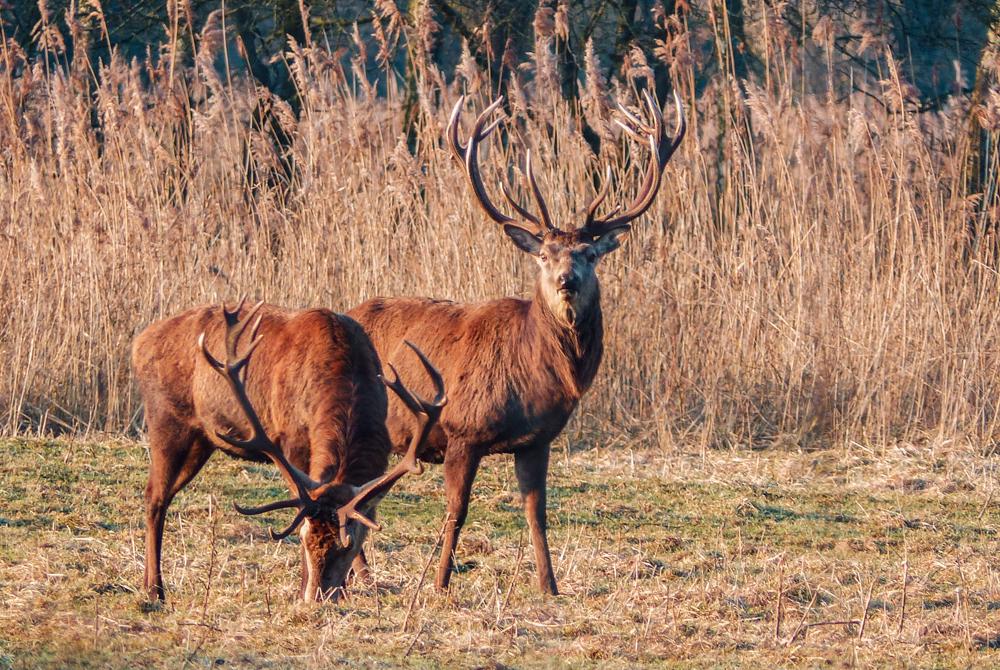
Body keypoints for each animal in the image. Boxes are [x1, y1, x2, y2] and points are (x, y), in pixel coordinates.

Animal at [133, 300, 446, 604]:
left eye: (348, 546)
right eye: (305, 539)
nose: (317, 597)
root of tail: (140, 341)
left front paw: (345, 591)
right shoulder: (293, 445)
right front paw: (302, 589)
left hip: (202, 440)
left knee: (162, 495)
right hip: (166, 420)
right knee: (154, 497)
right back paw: (155, 590)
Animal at [348, 92, 684, 596]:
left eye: (589, 253)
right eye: (544, 255)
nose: (567, 280)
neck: (533, 372)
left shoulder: (537, 440)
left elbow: (537, 515)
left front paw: (550, 586)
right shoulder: (462, 429)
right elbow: (456, 512)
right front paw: (440, 584)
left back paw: (362, 574)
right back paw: (359, 574)